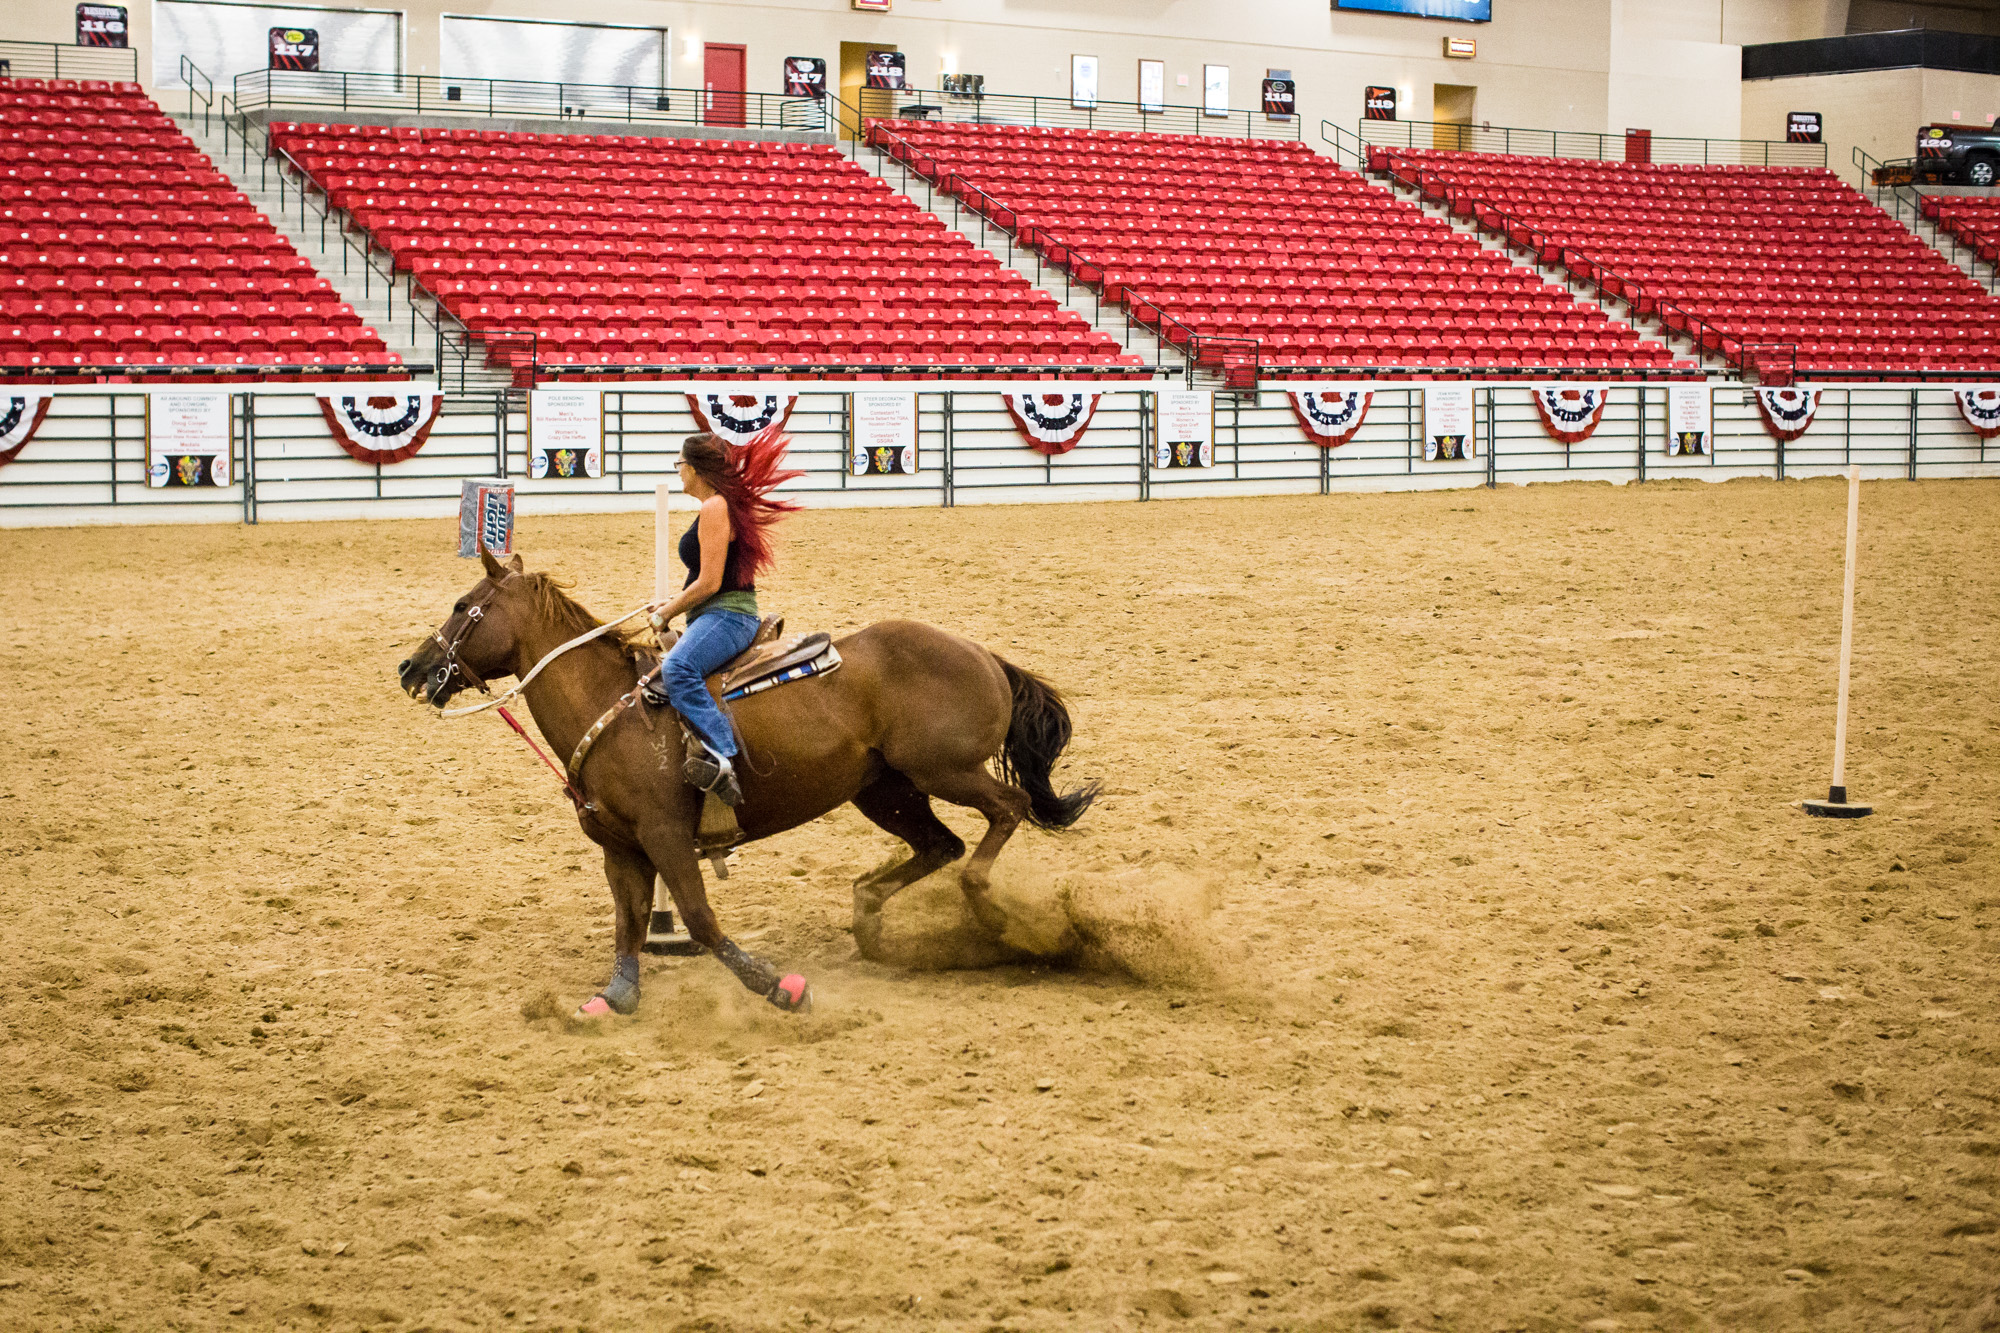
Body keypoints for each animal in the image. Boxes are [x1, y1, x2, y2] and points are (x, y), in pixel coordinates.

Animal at [396, 544, 1104, 1012]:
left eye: (465, 606)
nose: (412, 668)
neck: (611, 705)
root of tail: (984, 655)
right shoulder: (621, 847)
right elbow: (628, 922)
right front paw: (615, 996)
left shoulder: (666, 836)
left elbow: (700, 921)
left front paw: (779, 986)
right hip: (884, 790)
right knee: (941, 844)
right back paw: (873, 919)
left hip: (945, 769)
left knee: (1005, 809)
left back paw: (986, 905)